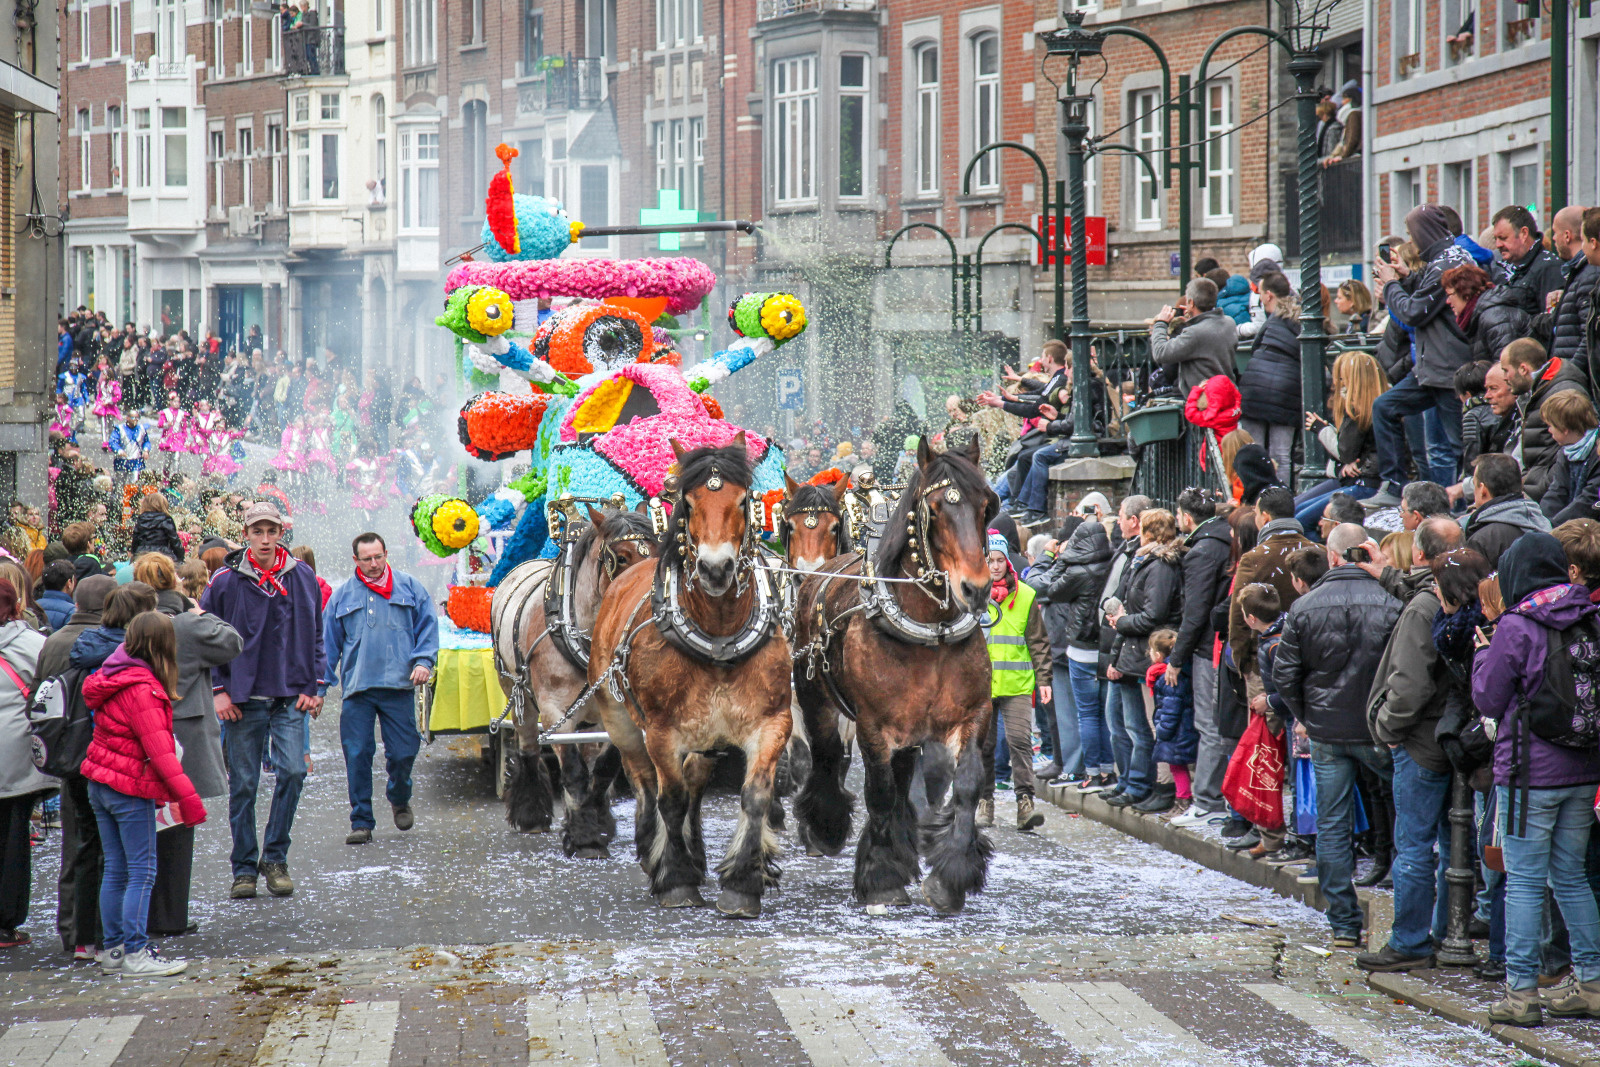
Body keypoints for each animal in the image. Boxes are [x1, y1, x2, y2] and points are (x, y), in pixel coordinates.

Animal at [492, 508, 656, 857]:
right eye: (621, 558)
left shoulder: (616, 712)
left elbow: (603, 769)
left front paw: (595, 825)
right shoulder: (555, 712)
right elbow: (574, 772)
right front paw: (585, 839)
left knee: (590, 752)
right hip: (517, 693)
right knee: (529, 747)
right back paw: (531, 815)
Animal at [585, 435, 790, 921]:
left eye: (743, 500)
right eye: (690, 503)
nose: (716, 569)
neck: (719, 637)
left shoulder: (772, 722)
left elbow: (755, 795)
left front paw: (742, 881)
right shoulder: (661, 732)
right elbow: (670, 800)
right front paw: (676, 878)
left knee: (695, 781)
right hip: (620, 720)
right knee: (644, 782)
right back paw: (651, 849)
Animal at [790, 438, 998, 915]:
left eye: (985, 506)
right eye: (934, 510)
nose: (976, 588)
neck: (930, 632)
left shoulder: (972, 714)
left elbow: (967, 783)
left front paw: (951, 874)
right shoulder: (873, 724)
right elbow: (879, 792)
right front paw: (882, 878)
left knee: (904, 778)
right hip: (816, 698)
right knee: (827, 755)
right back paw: (826, 825)